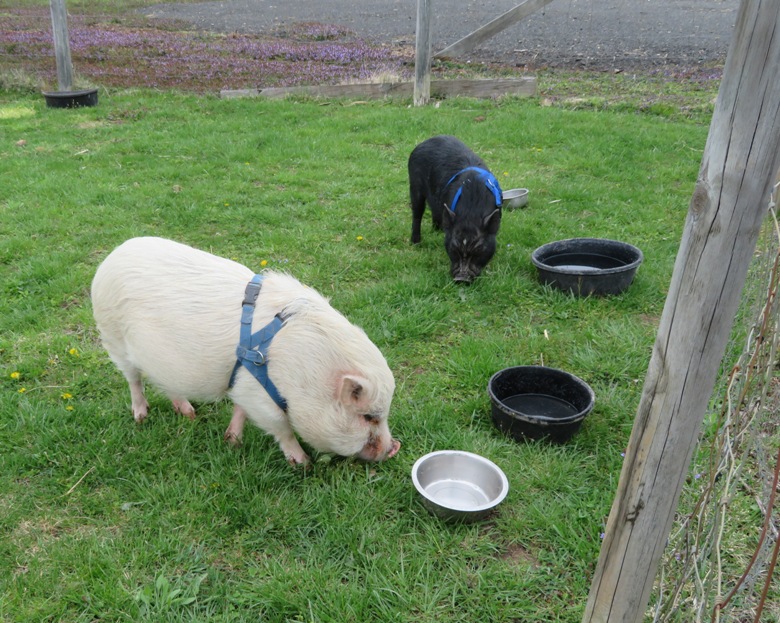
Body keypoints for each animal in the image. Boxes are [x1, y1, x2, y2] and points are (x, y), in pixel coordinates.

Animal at [90, 236, 402, 466]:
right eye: (368, 416)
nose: (394, 447)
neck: (305, 372)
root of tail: (113, 255)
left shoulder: (243, 381)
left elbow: (240, 410)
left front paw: (232, 442)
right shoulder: (258, 394)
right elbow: (281, 426)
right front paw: (303, 463)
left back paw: (189, 414)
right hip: (112, 337)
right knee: (133, 379)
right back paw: (141, 417)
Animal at [406, 136, 502, 286]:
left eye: (479, 251)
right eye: (453, 249)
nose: (461, 278)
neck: (471, 211)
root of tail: (424, 142)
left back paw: (437, 230)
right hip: (414, 184)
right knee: (417, 213)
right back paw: (416, 242)